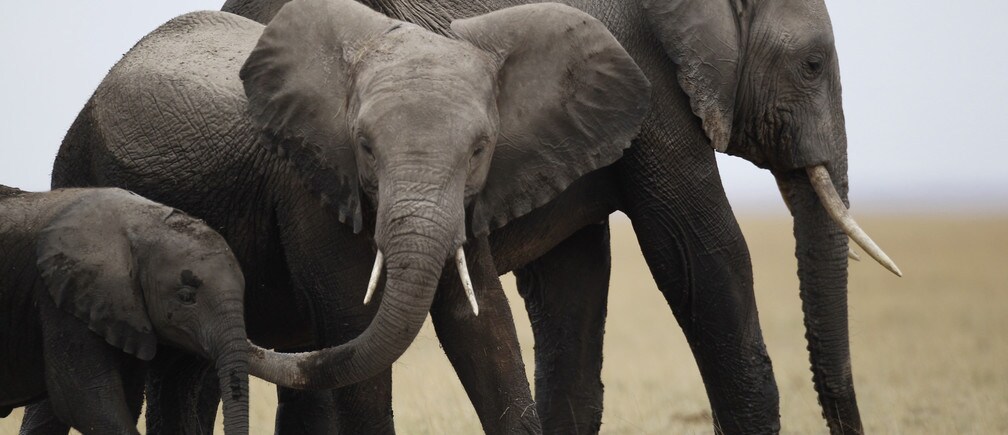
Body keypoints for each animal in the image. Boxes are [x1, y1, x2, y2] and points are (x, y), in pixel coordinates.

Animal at [0, 185, 300, 434]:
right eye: (186, 297)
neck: (140, 224)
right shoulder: (62, 300)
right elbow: (85, 402)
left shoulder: (125, 315)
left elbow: (126, 399)